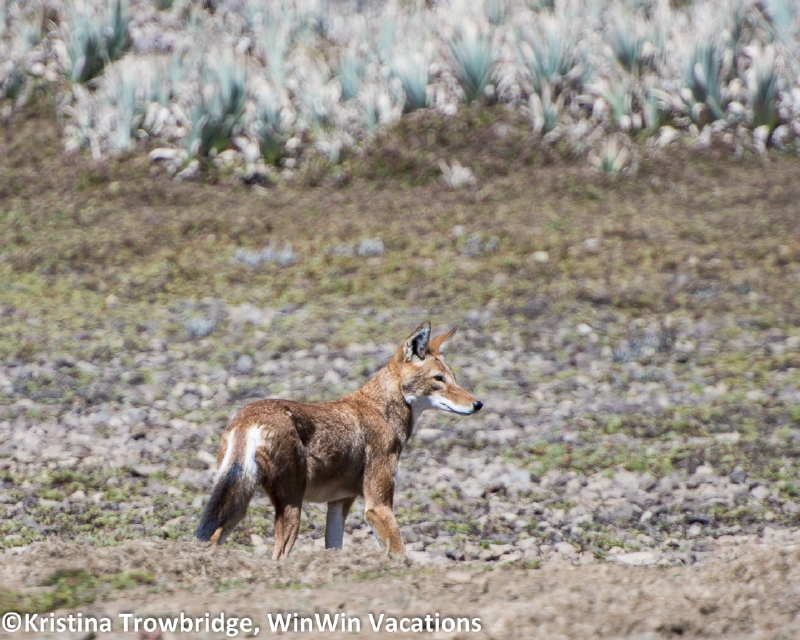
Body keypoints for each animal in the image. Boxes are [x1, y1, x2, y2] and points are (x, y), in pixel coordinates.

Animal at [195, 321, 483, 559]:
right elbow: (401, 556)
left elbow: (335, 547)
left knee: (211, 538)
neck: (381, 411)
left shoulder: (339, 503)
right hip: (291, 507)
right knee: (277, 557)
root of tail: (247, 417)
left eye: (454, 378)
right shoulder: (377, 506)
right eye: (438, 379)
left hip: (239, 504)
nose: (478, 404)